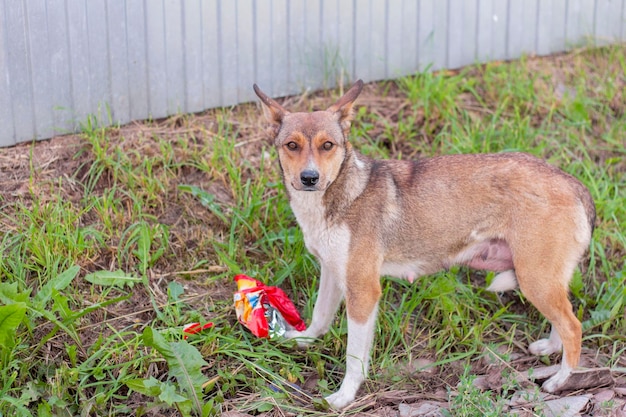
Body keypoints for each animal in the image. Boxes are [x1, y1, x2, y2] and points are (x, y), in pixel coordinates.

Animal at [251, 79, 592, 408]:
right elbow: (321, 317)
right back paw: (550, 348)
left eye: (327, 145)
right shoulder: (333, 273)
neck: (342, 193)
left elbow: (354, 357)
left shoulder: (363, 290)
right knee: (564, 319)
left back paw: (559, 381)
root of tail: (573, 183)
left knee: (574, 327)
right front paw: (304, 340)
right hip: (543, 280)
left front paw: (345, 396)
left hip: (535, 279)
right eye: (292, 145)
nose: (309, 177)